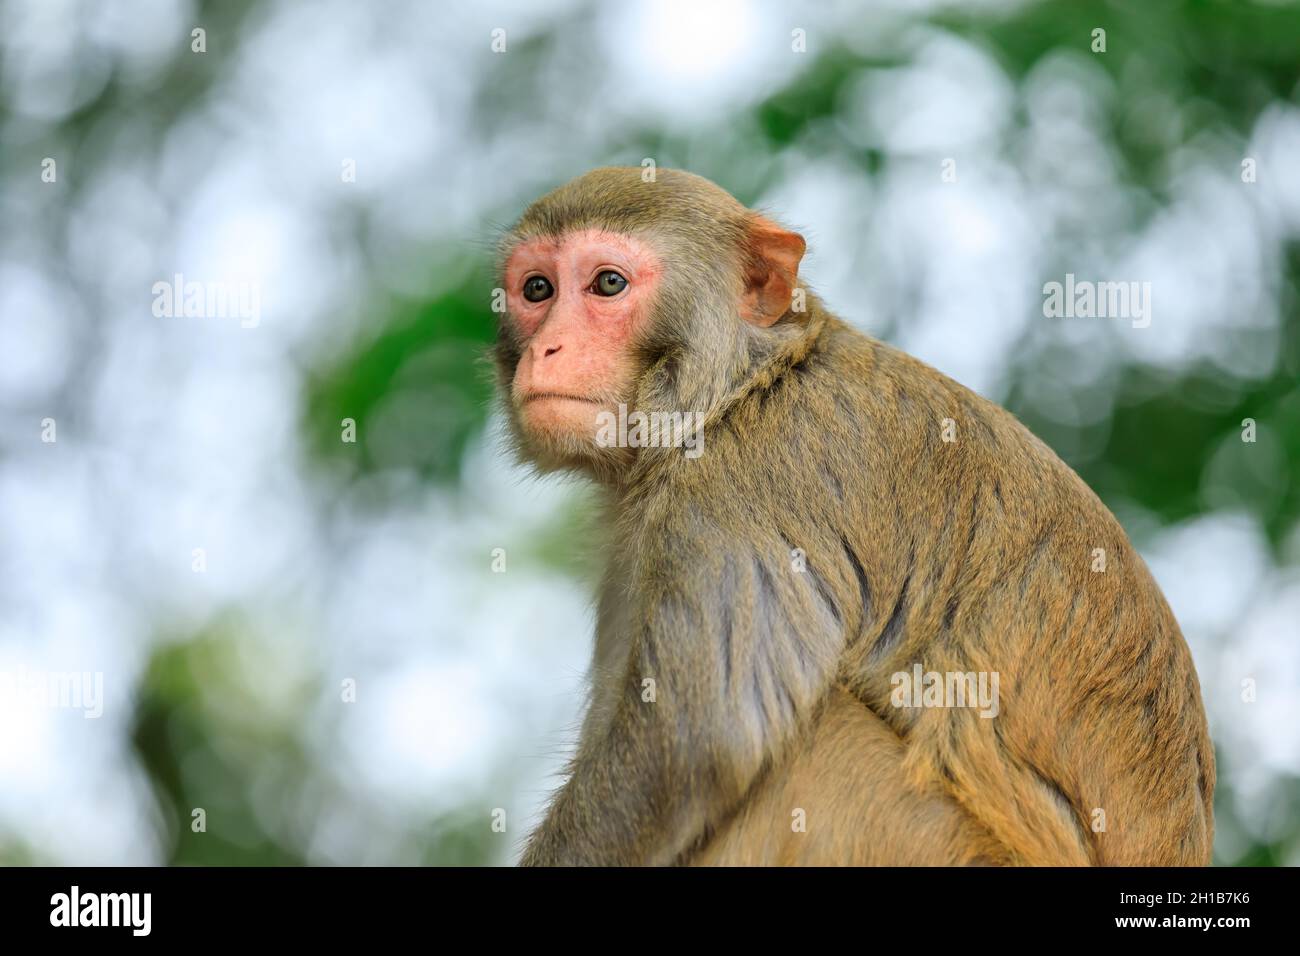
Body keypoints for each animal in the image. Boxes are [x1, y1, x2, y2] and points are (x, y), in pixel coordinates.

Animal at [491, 166, 1211, 868]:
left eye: (607, 283)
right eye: (537, 290)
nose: (547, 349)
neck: (738, 392)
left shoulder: (738, 491)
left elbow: (691, 744)